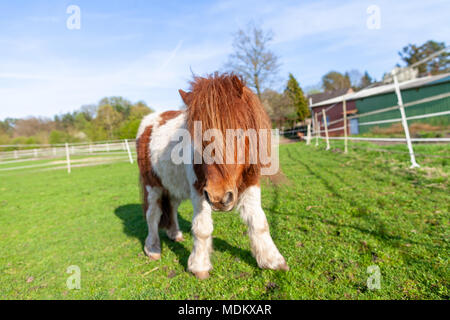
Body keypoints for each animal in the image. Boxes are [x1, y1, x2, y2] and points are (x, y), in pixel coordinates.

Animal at [135, 72, 288, 278]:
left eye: (240, 133)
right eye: (197, 138)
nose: (219, 197)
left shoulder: (251, 183)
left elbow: (259, 221)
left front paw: (272, 260)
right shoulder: (199, 190)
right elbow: (202, 228)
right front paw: (199, 266)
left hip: (173, 185)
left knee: (172, 207)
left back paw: (175, 234)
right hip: (153, 186)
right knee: (152, 214)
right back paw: (152, 248)